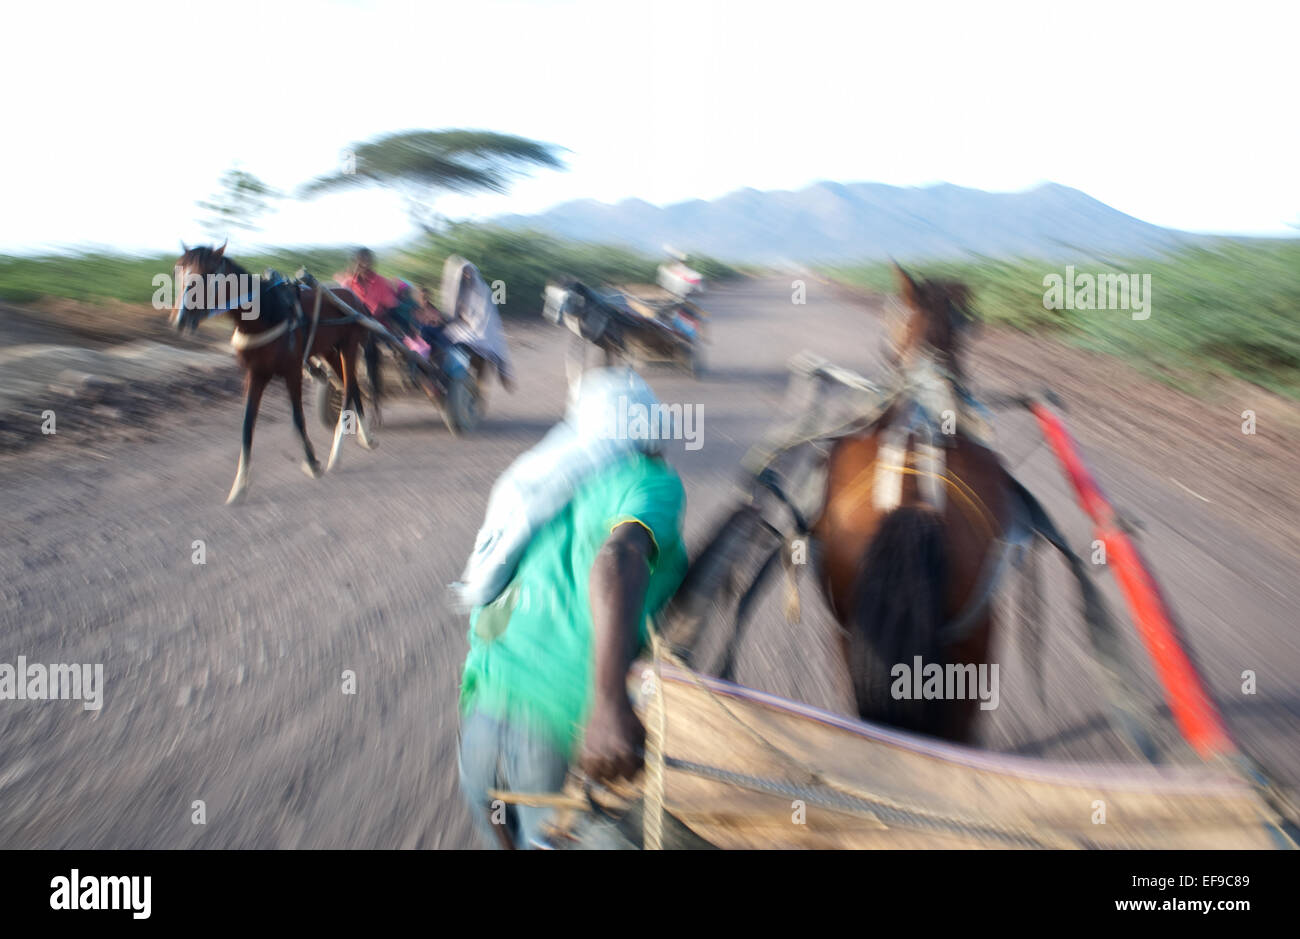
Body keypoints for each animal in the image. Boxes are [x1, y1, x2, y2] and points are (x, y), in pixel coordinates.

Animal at [172, 243, 379, 504]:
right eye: (178, 271)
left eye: (207, 274)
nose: (180, 320)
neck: (264, 316)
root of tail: (355, 300)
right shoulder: (255, 375)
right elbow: (247, 427)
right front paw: (240, 486)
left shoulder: (292, 371)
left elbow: (297, 419)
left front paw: (312, 462)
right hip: (330, 351)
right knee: (352, 389)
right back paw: (366, 437)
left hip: (349, 348)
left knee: (349, 390)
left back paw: (337, 454)